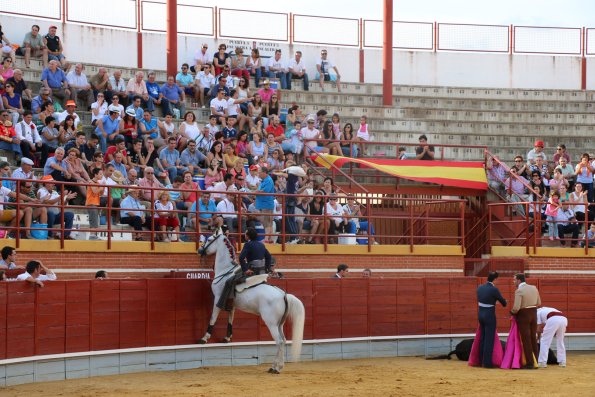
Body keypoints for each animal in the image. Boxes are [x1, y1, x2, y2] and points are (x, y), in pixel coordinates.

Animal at [198, 227, 304, 372]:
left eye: (209, 239)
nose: (199, 250)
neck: (225, 272)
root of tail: (283, 294)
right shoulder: (232, 303)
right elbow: (231, 318)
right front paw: (227, 337)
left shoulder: (218, 299)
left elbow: (213, 318)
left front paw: (204, 338)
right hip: (280, 323)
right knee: (284, 340)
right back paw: (279, 366)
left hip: (271, 323)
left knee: (279, 341)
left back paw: (274, 367)